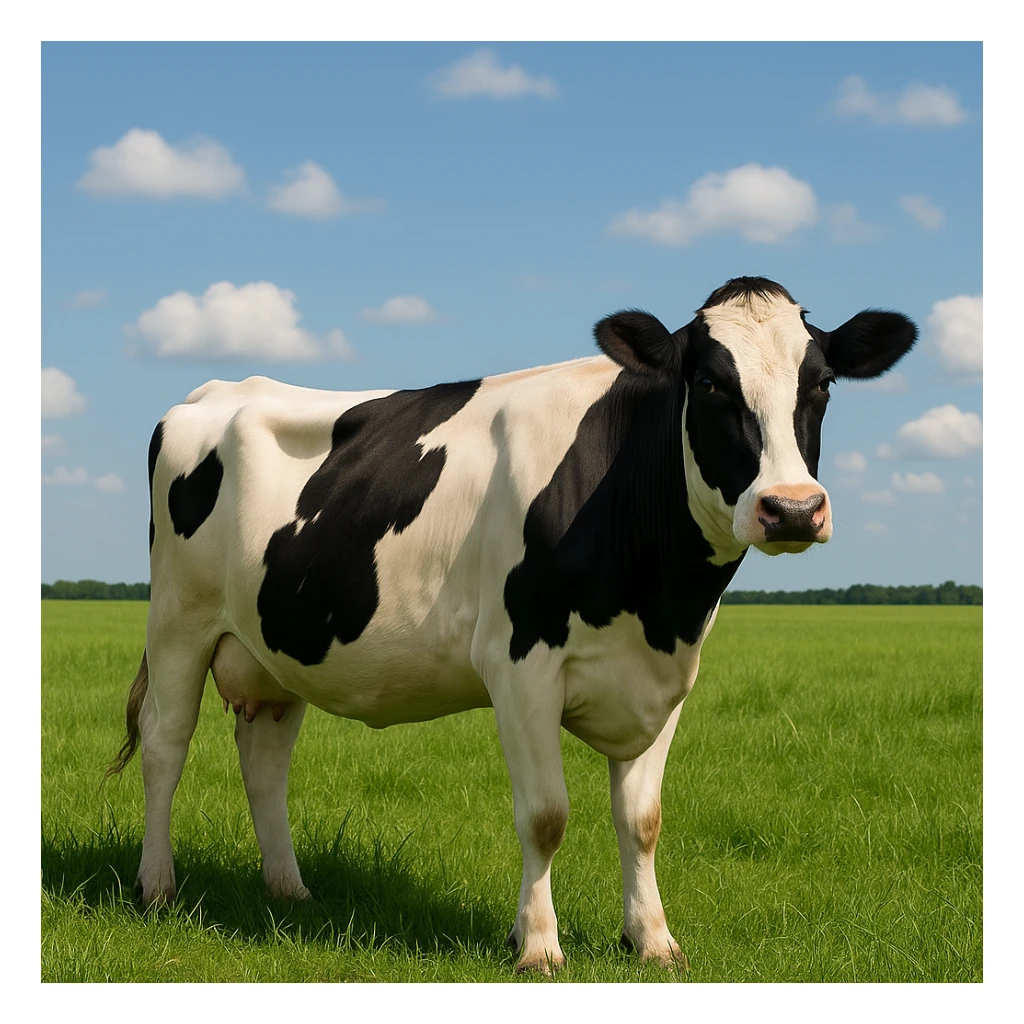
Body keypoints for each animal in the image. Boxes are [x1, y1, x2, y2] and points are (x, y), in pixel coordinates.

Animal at [108, 276, 916, 973]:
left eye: (822, 384)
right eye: (711, 383)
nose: (792, 508)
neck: (658, 597)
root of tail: (215, 392)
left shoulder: (667, 679)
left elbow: (643, 818)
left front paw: (653, 942)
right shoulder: (521, 666)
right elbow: (546, 816)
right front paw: (538, 946)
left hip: (277, 646)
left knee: (265, 761)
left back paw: (290, 890)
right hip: (179, 620)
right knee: (165, 744)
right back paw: (157, 888)